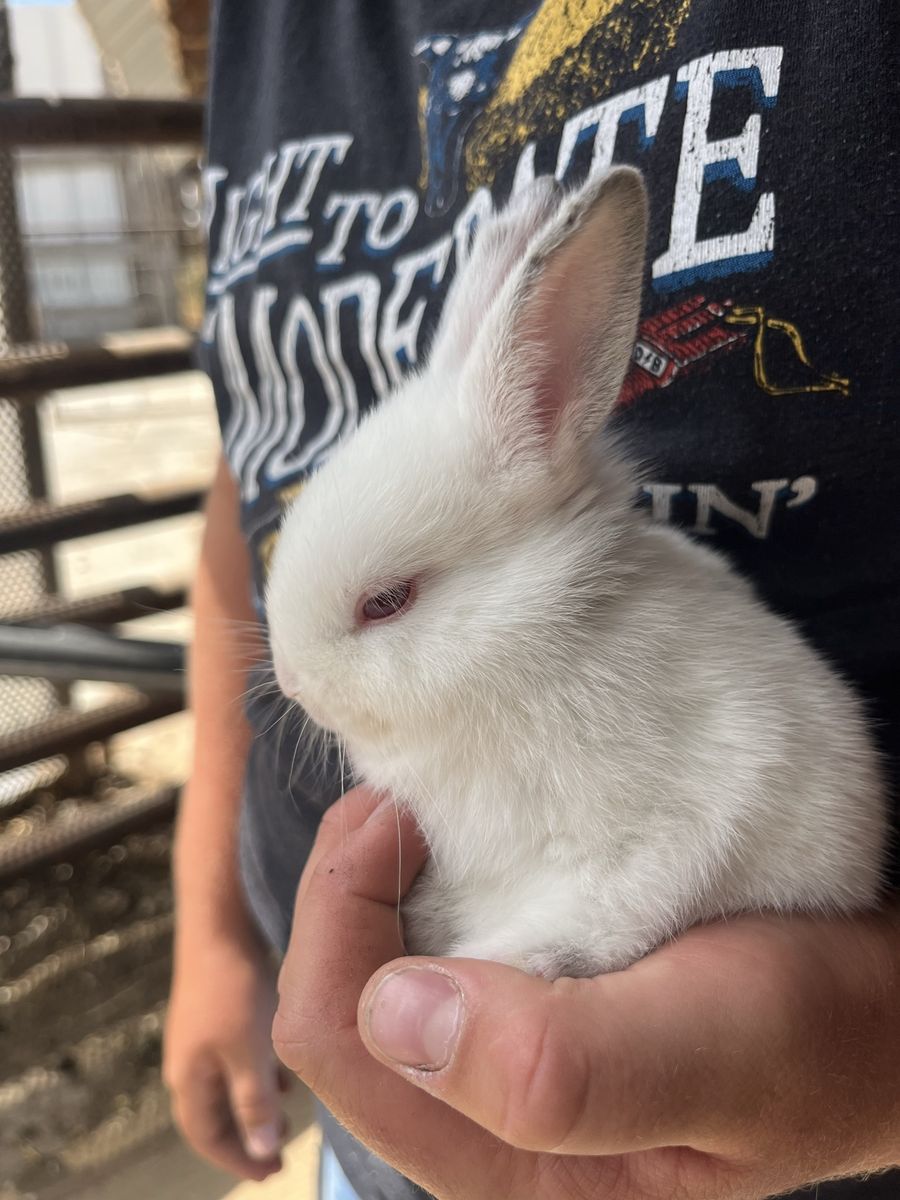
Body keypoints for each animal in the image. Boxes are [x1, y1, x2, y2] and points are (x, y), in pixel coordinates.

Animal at [266, 167, 887, 980]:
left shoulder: (675, 822)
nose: (292, 682)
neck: (522, 642)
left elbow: (615, 904)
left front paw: (504, 960)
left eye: (388, 601)